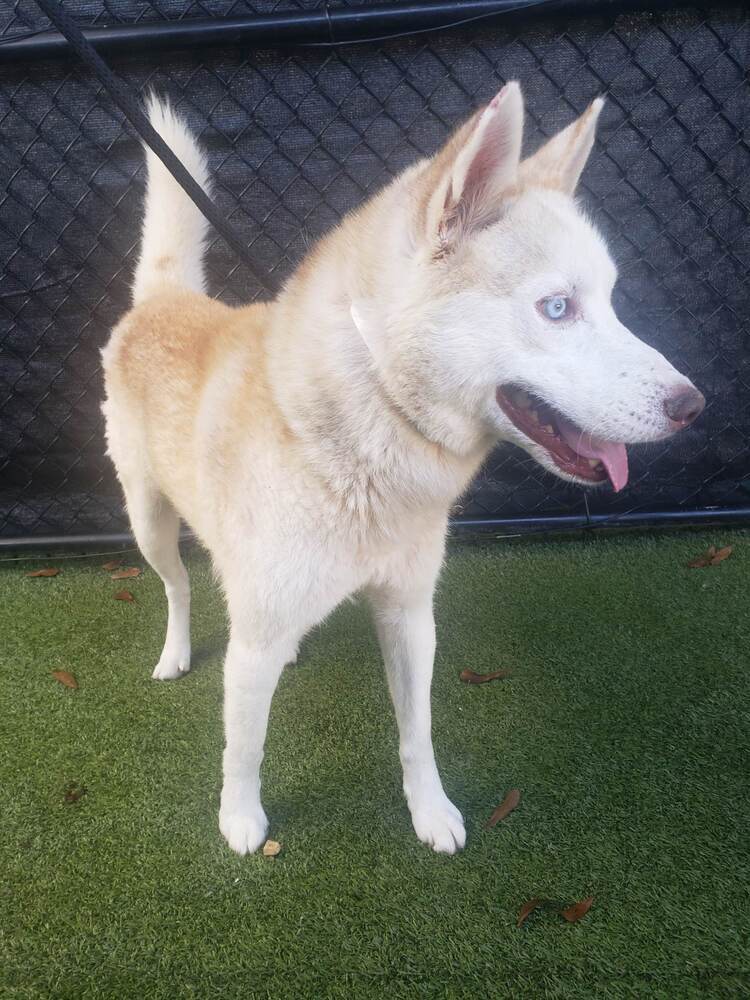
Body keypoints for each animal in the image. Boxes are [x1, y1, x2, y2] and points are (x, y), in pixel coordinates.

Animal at [103, 82, 708, 856]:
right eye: (557, 307)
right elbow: (244, 746)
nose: (693, 405)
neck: (359, 448)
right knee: (176, 587)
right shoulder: (256, 638)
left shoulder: (411, 613)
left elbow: (417, 733)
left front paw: (431, 811)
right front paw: (240, 820)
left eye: (608, 299)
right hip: (146, 520)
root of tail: (164, 300)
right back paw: (175, 653)